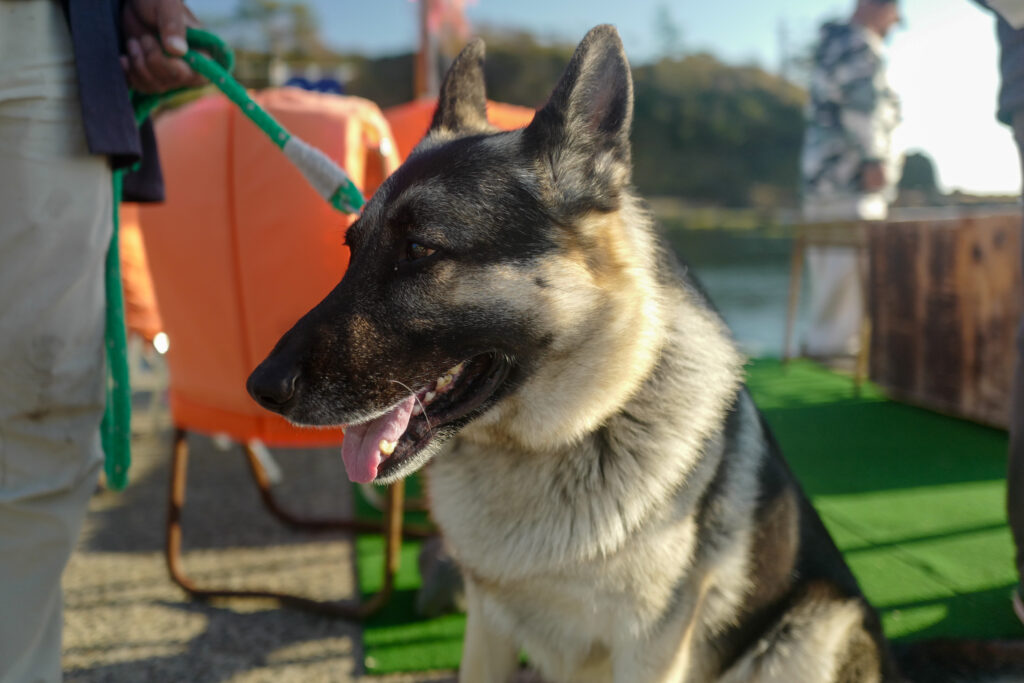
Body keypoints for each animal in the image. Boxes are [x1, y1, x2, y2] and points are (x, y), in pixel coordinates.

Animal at [245, 25, 1024, 683]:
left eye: (419, 250)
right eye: (352, 250)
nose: (259, 385)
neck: (568, 436)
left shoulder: (651, 649)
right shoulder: (489, 629)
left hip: (808, 632)